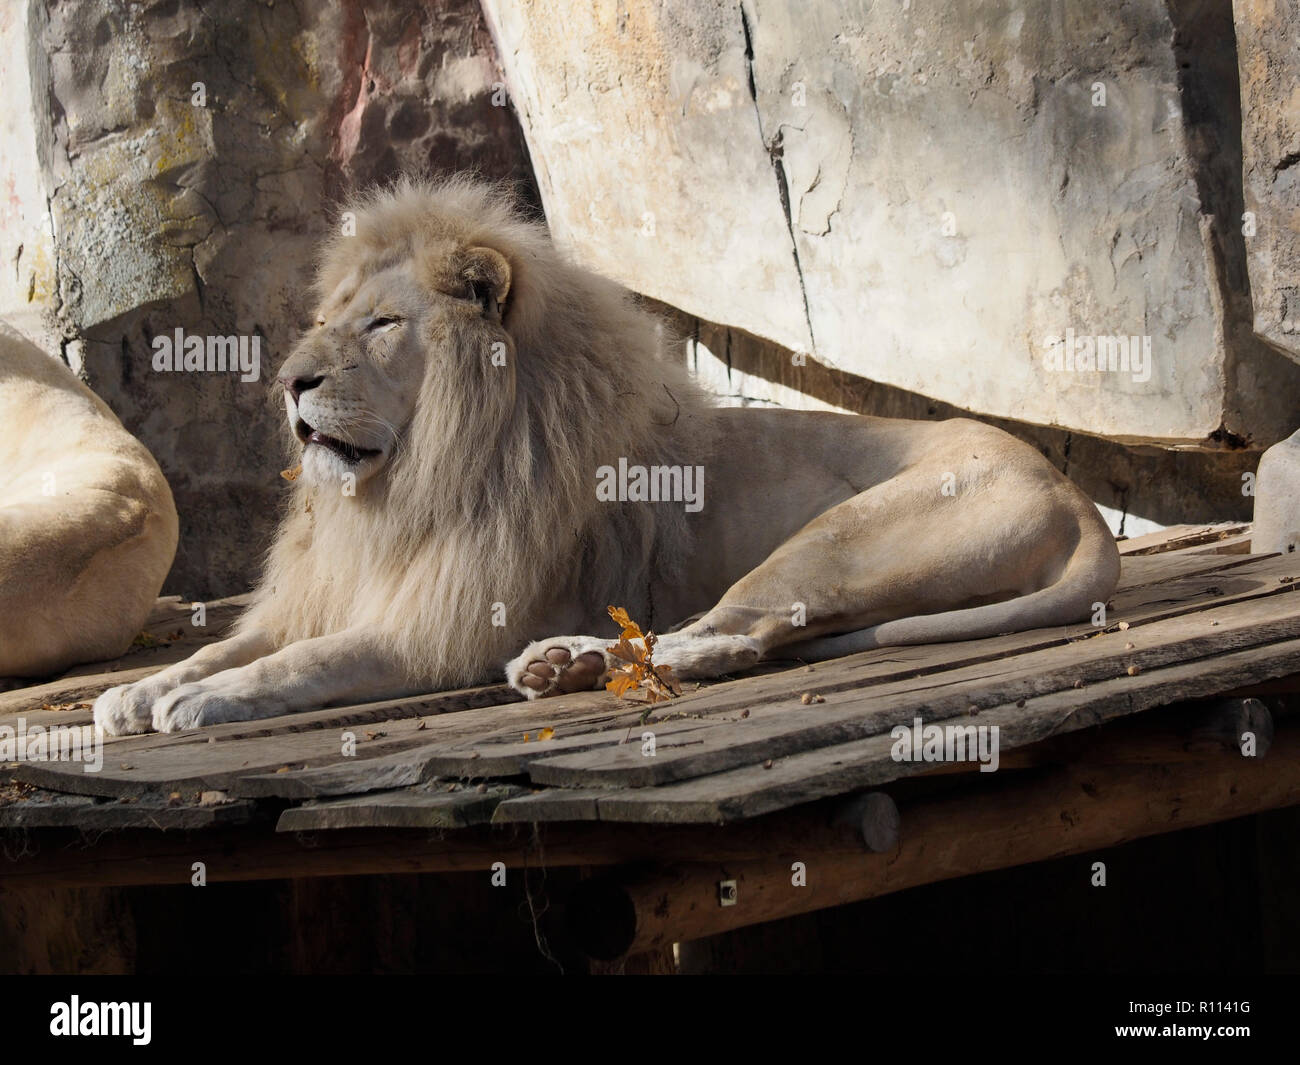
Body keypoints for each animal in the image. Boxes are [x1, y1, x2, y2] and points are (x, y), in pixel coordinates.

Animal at [94, 179, 1118, 738]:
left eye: (383, 325)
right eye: (326, 320)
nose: (290, 382)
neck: (404, 489)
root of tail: (1075, 496)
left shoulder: (438, 629)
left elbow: (298, 663)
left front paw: (205, 699)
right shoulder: (333, 594)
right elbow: (235, 642)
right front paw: (140, 689)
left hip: (839, 542)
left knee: (724, 634)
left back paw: (563, 662)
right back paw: (568, 667)